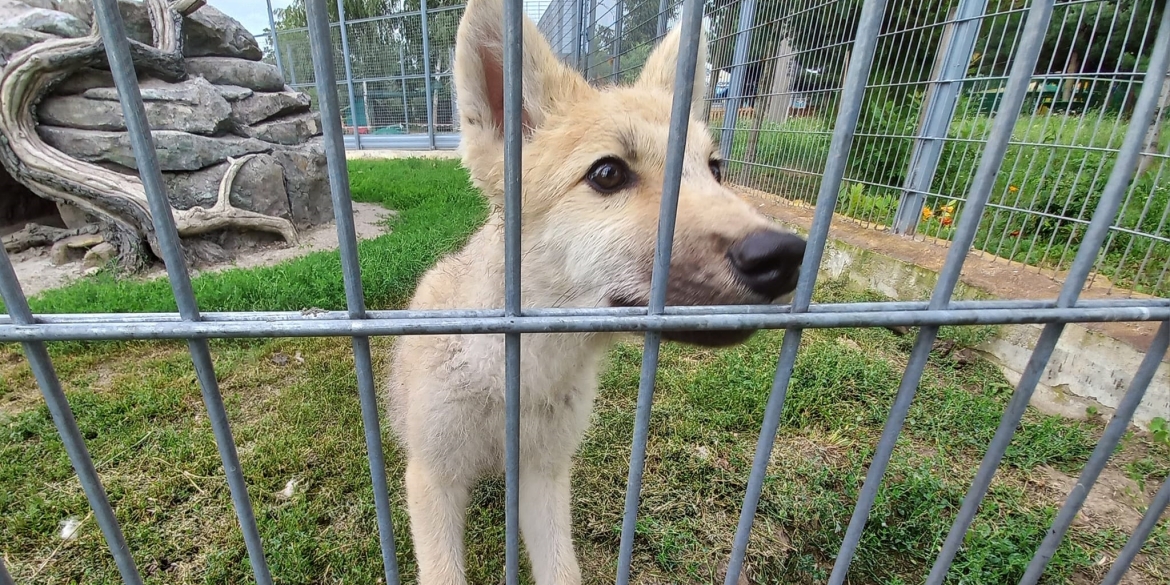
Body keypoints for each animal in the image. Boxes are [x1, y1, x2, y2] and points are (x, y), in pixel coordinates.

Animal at [388, 2, 809, 582]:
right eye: (607, 173)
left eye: (715, 170)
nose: (784, 256)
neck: (517, 377)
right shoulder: (434, 479)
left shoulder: (545, 478)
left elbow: (562, 569)